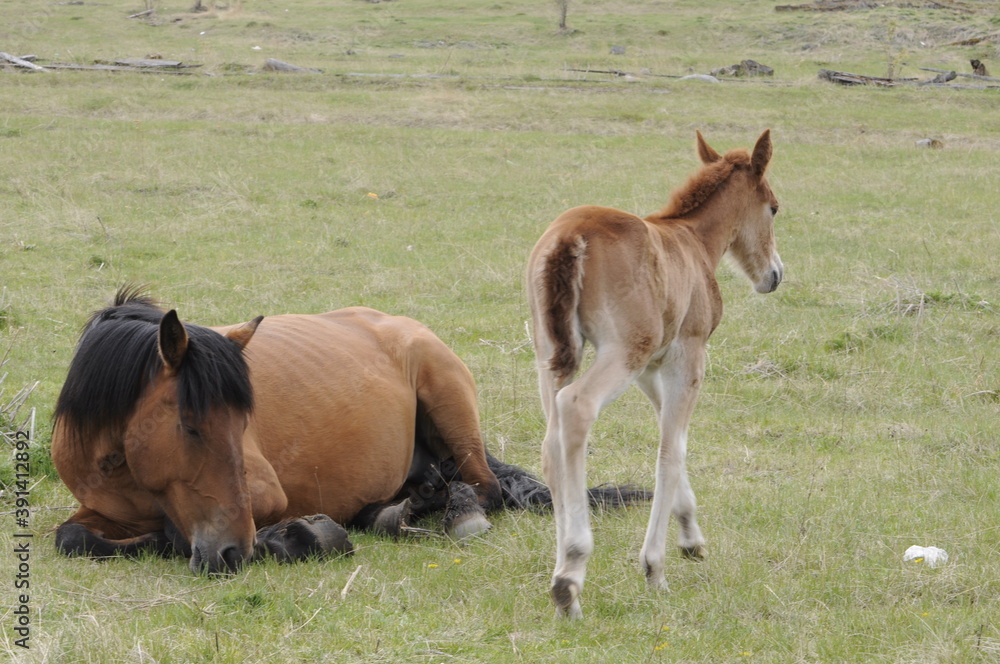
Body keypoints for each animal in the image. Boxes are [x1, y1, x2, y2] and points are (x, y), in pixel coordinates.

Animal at [52, 288, 647, 574]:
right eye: (190, 426)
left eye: (244, 424)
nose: (232, 553)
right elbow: (72, 537)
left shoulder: (261, 496)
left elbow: (181, 532)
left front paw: (294, 537)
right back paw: (396, 509)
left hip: (449, 404)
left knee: (485, 489)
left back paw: (448, 513)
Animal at [526, 130, 783, 618]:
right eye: (774, 207)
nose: (775, 275)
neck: (694, 242)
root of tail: (570, 235)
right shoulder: (689, 354)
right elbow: (671, 451)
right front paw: (655, 567)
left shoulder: (651, 368)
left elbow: (672, 434)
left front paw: (692, 538)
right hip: (620, 352)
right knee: (577, 408)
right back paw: (571, 573)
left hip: (551, 353)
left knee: (551, 443)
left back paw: (561, 574)